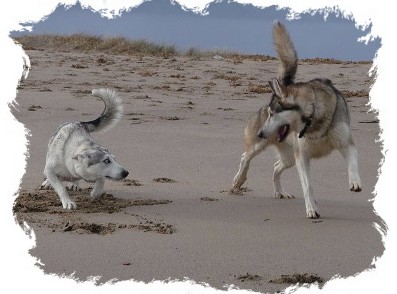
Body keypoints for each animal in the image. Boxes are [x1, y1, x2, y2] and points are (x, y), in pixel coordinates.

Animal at [230, 20, 360, 218]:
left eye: (273, 113)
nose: (260, 133)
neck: (313, 120)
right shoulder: (302, 158)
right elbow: (307, 186)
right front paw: (311, 208)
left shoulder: (346, 143)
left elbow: (352, 164)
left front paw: (355, 182)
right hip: (261, 147)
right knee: (245, 158)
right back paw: (238, 180)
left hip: (288, 158)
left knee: (276, 167)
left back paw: (279, 192)